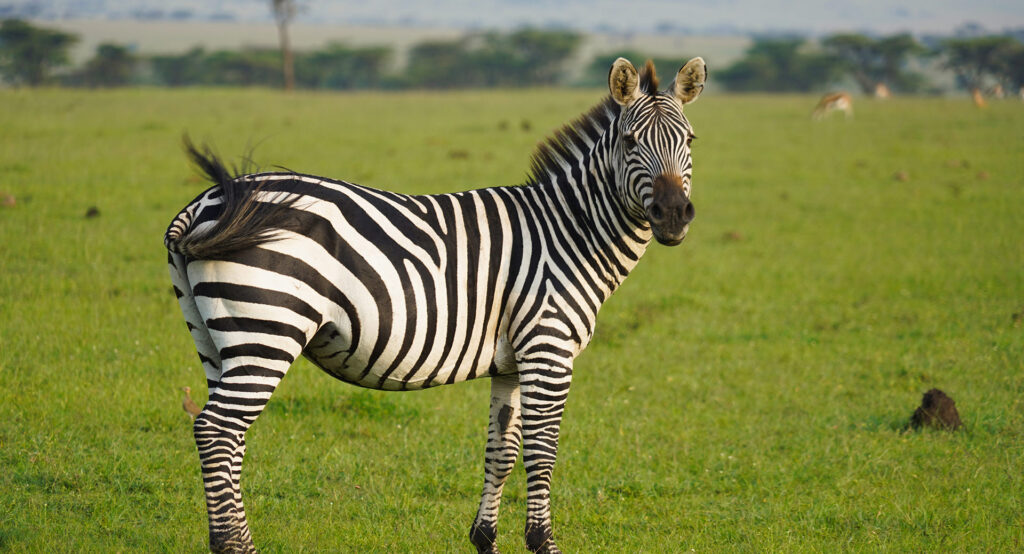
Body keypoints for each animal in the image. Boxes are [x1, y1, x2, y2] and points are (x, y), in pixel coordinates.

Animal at [165, 56, 706, 553]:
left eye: (691, 140)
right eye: (630, 142)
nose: (674, 216)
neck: (568, 232)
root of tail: (210, 200)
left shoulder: (511, 362)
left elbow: (501, 451)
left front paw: (484, 539)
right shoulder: (548, 350)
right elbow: (542, 452)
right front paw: (542, 542)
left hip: (215, 339)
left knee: (225, 439)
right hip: (267, 329)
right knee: (217, 431)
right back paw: (236, 547)